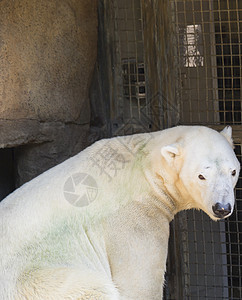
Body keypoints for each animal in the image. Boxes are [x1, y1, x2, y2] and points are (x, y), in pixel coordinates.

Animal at [0, 125, 240, 298]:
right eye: (201, 176)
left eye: (233, 171)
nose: (222, 208)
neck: (146, 168)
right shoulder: (135, 219)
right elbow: (139, 284)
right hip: (32, 277)